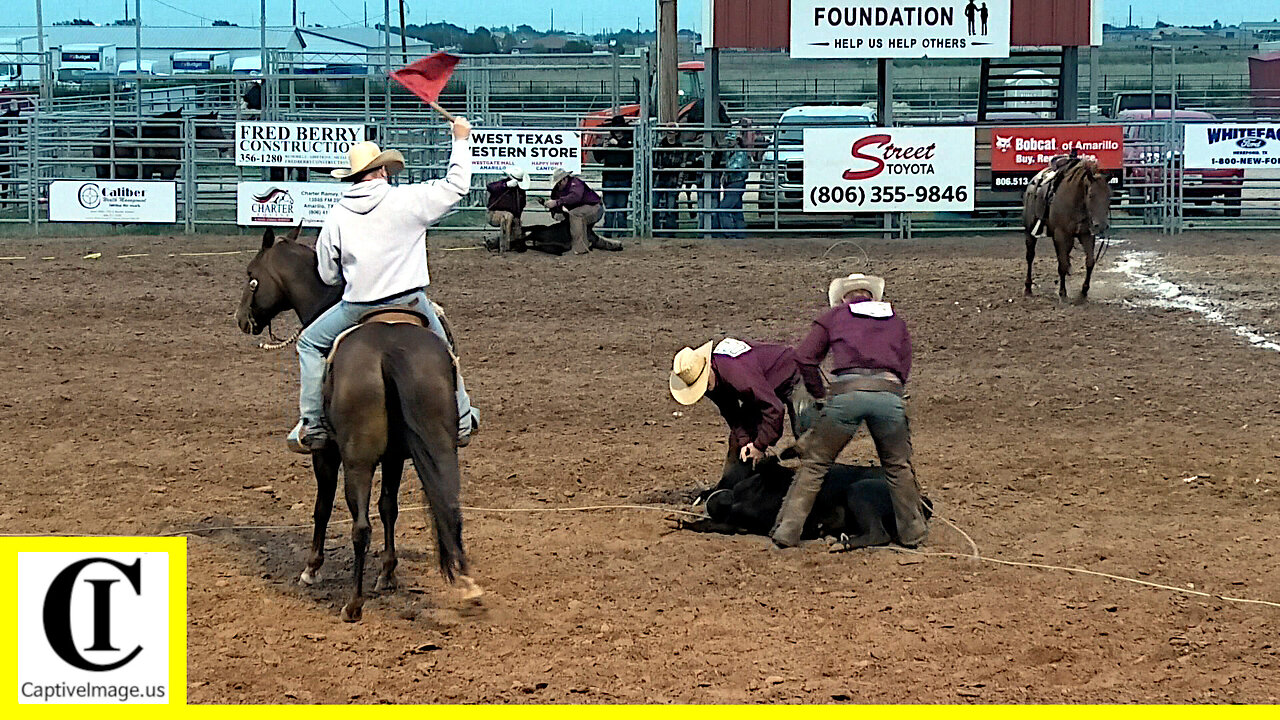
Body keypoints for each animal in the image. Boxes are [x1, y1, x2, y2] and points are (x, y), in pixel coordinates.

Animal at [231, 225, 481, 622]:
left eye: (251, 275)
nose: (242, 319)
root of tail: (389, 348)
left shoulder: (326, 454)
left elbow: (322, 506)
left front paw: (312, 568)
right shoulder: (395, 456)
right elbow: (389, 507)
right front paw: (388, 573)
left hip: (356, 459)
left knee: (360, 526)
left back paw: (353, 603)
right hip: (438, 446)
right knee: (448, 507)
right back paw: (468, 587)